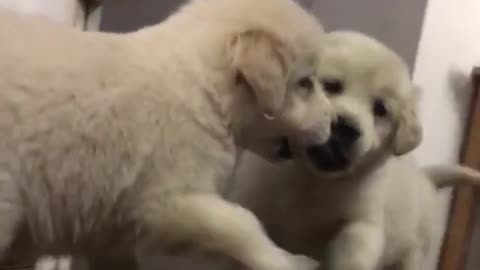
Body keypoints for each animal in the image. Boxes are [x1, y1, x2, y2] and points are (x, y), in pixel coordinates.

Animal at [0, 0, 332, 270]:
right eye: (305, 83)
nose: (334, 120)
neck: (204, 89)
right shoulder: (168, 200)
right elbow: (243, 224)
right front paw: (288, 261)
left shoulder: (111, 234)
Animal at [227, 32, 460, 270]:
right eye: (330, 85)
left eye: (380, 109)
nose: (346, 128)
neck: (312, 180)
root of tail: (426, 177)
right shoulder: (250, 196)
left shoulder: (360, 225)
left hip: (415, 255)